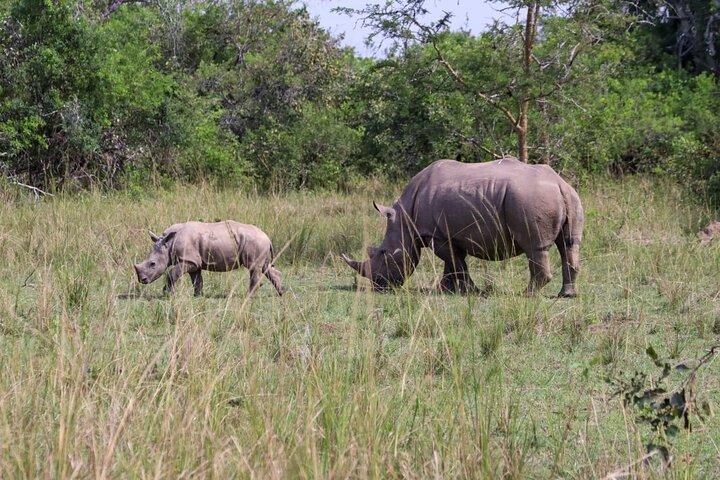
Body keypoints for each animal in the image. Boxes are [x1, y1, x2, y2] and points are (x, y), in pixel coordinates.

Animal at [133, 221, 284, 296]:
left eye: (152, 264)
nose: (142, 280)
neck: (168, 244)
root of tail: (267, 237)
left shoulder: (187, 259)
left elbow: (171, 274)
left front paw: (166, 294)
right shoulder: (194, 261)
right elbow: (197, 280)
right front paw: (197, 296)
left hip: (255, 242)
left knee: (254, 268)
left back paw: (248, 296)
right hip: (259, 243)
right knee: (265, 267)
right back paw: (281, 292)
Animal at [341, 158, 584, 297]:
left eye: (383, 253)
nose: (379, 286)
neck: (404, 219)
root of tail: (560, 184)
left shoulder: (437, 235)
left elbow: (456, 263)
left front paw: (469, 291)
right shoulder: (448, 234)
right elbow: (453, 263)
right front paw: (445, 290)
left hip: (529, 199)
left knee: (535, 247)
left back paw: (526, 295)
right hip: (571, 197)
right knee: (569, 245)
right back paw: (567, 295)